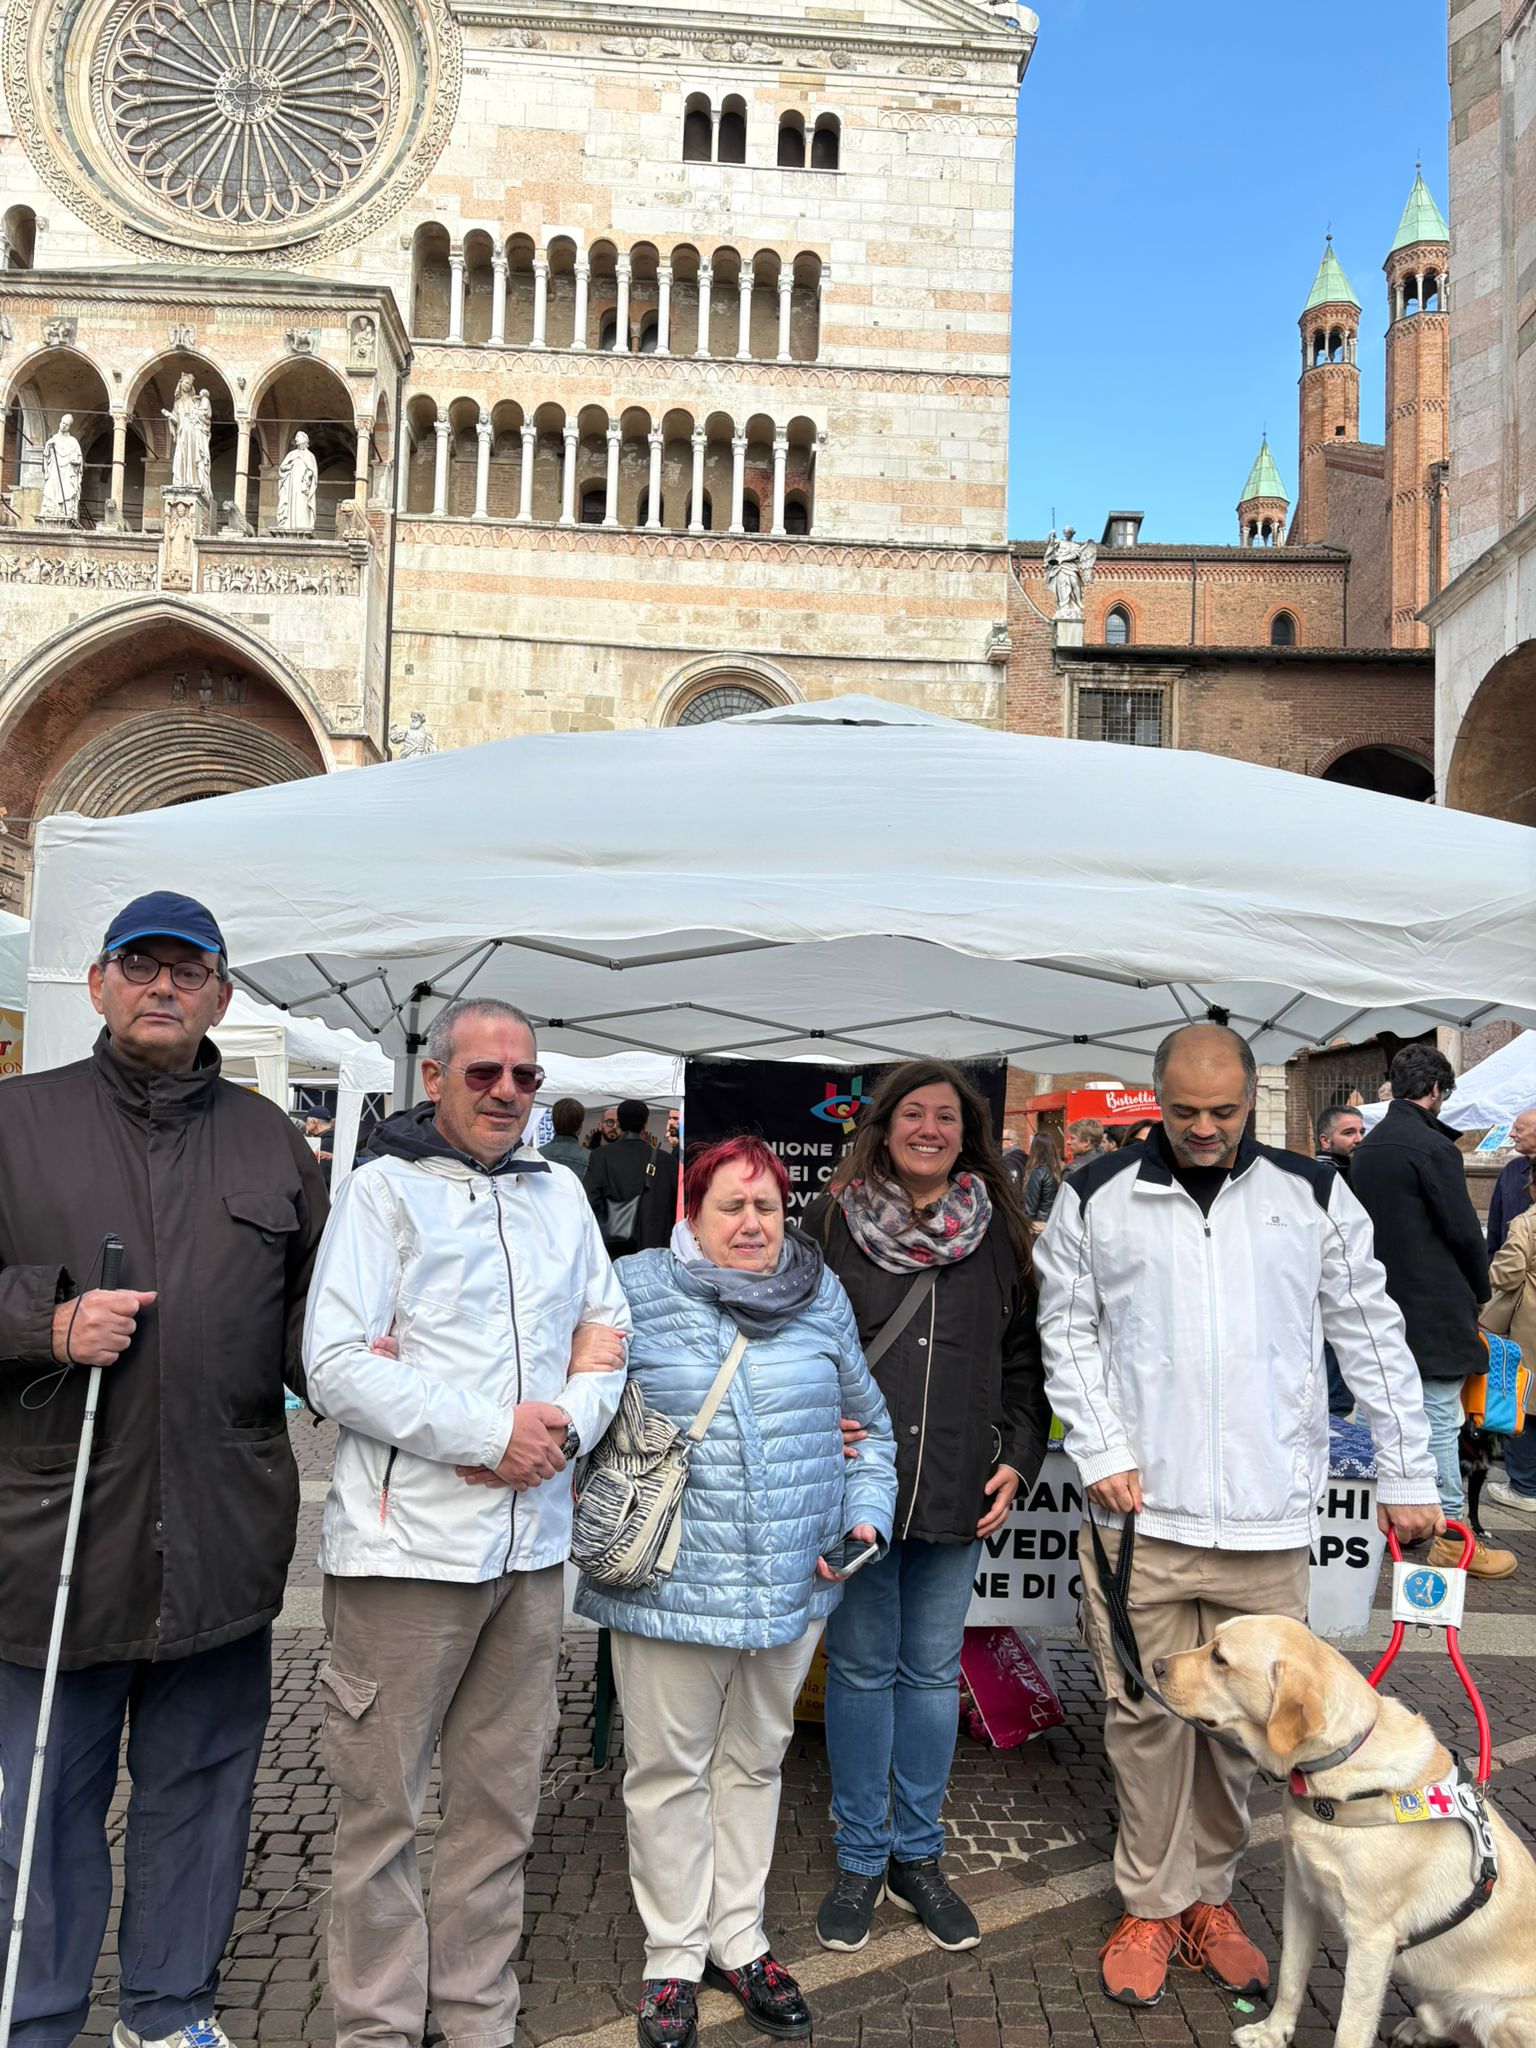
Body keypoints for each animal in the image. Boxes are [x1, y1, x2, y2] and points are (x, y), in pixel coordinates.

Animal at [1158, 1614, 1536, 2048]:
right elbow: (1291, 1977)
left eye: (1219, 1658)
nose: (1155, 1665)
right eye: (1210, 1641)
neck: (1341, 1768)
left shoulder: (1372, 1939)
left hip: (1499, 2013)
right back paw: (1419, 2029)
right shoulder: (1301, 1895)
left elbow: (1352, 2026)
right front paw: (1273, 2032)